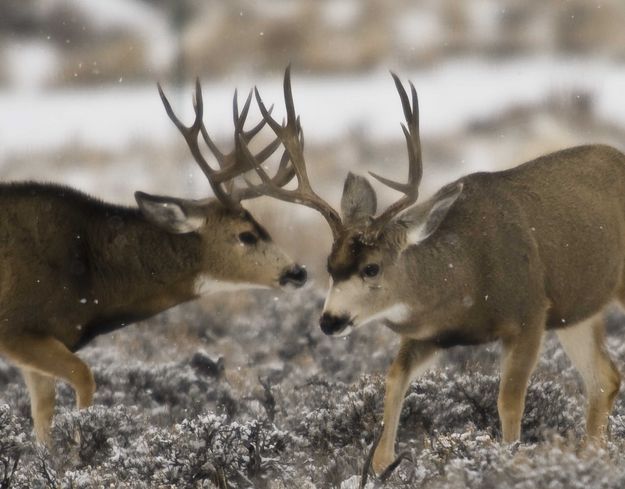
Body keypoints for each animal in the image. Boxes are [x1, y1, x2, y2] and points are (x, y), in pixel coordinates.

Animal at [0, 78, 304, 444]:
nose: (298, 272)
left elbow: (43, 422)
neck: (90, 273)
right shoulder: (16, 325)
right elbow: (84, 377)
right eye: (246, 235)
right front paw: (83, 443)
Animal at [243, 66, 624, 474]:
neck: (469, 274)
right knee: (605, 377)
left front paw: (510, 463)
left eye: (372, 268)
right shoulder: (430, 332)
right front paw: (382, 465)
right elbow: (394, 379)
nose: (330, 320)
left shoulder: (530, 313)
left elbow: (508, 401)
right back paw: (591, 456)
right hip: (577, 310)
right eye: (330, 266)